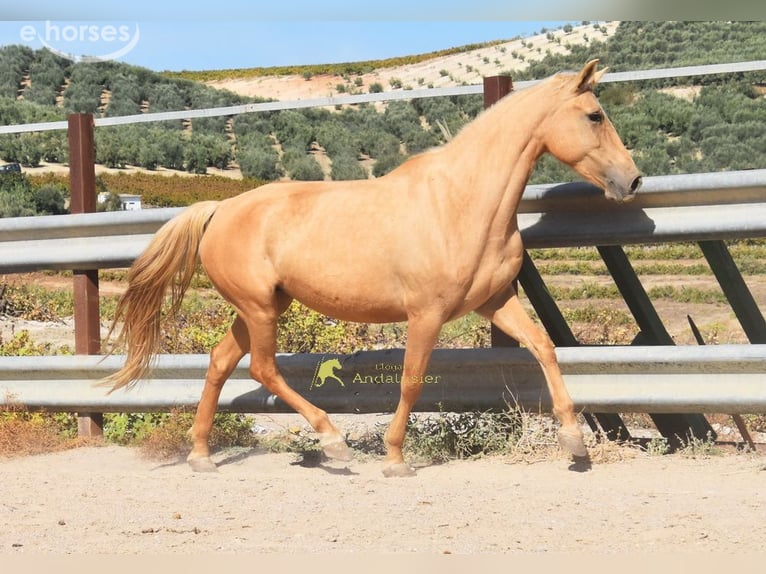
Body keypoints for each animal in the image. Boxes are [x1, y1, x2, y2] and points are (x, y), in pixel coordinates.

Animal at [102, 60, 641, 476]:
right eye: (594, 115)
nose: (633, 180)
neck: (461, 202)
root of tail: (220, 209)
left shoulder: (495, 301)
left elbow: (544, 348)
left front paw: (575, 442)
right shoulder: (426, 314)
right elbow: (412, 380)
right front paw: (394, 458)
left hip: (261, 306)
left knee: (218, 362)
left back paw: (201, 456)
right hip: (259, 309)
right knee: (262, 367)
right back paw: (333, 440)